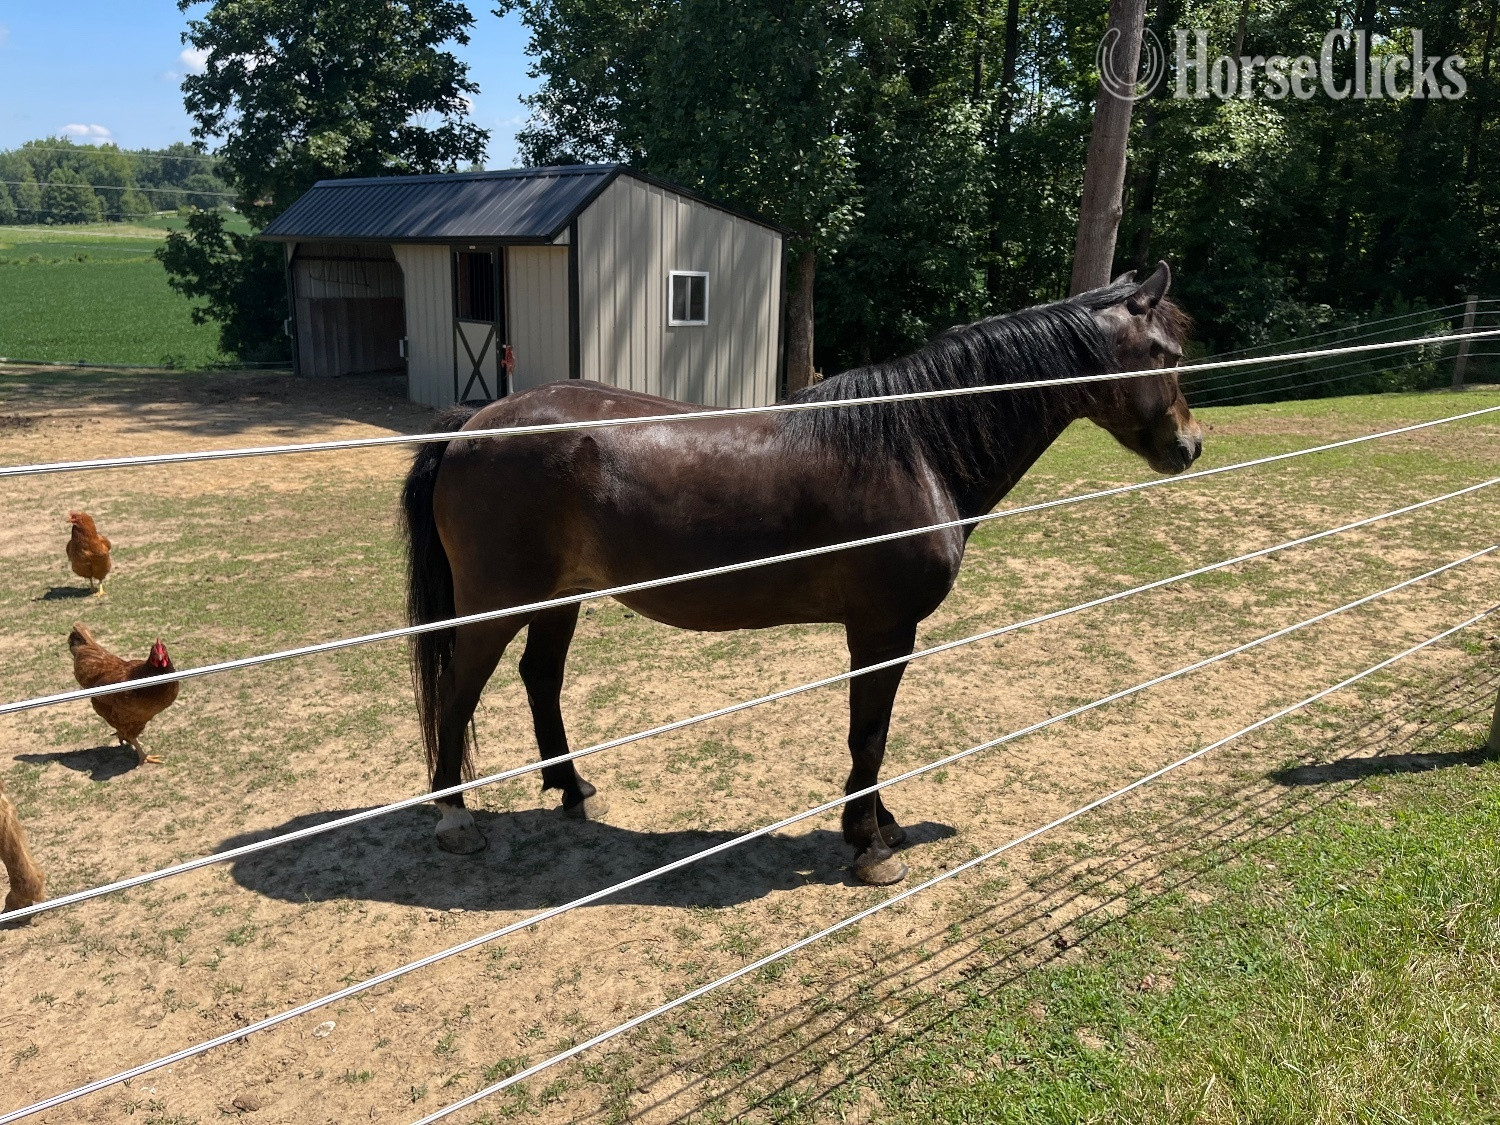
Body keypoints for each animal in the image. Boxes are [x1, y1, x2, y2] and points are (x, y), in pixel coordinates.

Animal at [401, 261, 1199, 886]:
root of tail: (473, 426)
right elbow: (869, 734)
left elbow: (873, 734)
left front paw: (879, 823)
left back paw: (571, 789)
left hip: (560, 597)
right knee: (458, 692)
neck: (913, 444)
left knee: (540, 678)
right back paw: (452, 818)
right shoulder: (882, 629)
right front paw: (870, 845)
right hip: (495, 605)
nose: (1189, 445)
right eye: (1162, 353)